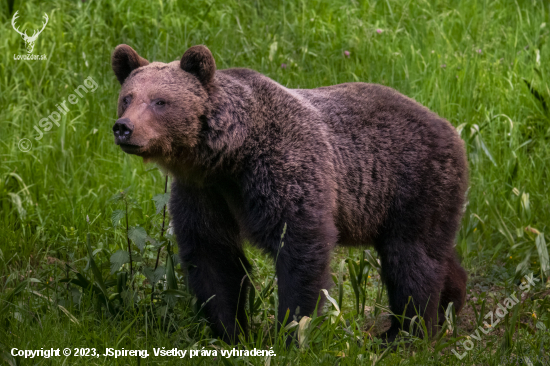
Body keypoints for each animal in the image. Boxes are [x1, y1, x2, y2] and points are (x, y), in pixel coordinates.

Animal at [112, 44, 470, 344]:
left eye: (160, 101)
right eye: (127, 97)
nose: (124, 128)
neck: (229, 156)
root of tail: (450, 127)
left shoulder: (283, 168)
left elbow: (300, 247)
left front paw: (290, 331)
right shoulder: (204, 192)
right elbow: (212, 256)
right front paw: (230, 332)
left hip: (411, 184)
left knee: (410, 259)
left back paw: (405, 333)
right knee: (434, 254)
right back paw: (449, 306)